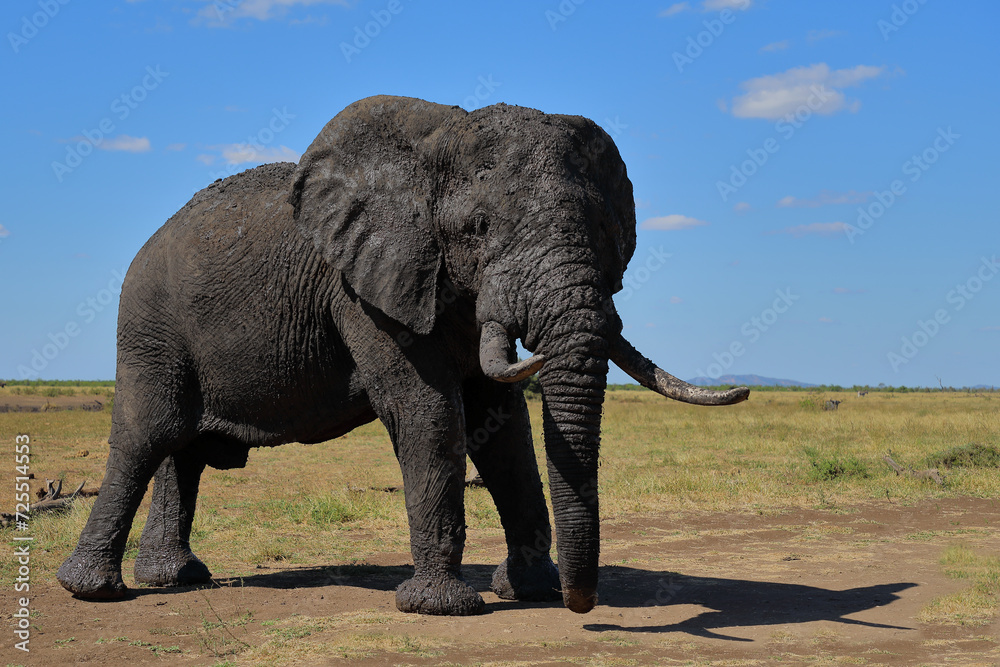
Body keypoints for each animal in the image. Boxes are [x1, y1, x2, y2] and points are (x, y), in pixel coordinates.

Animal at [57, 95, 748, 616]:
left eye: (606, 230)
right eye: (477, 228)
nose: (583, 605)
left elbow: (502, 427)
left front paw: (528, 591)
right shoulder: (363, 291)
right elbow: (428, 410)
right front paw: (443, 607)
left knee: (185, 451)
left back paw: (176, 577)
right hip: (150, 324)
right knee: (150, 434)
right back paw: (95, 590)